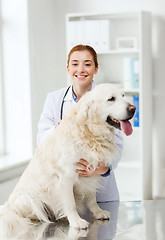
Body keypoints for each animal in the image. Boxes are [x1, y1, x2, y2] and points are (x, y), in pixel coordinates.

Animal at [0, 83, 135, 237]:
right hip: (28, 199)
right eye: (111, 99)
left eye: (123, 96)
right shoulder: (66, 177)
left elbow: (92, 198)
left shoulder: (90, 174)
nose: (133, 109)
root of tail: (8, 208)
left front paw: (97, 212)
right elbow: (70, 204)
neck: (89, 131)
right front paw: (76, 221)